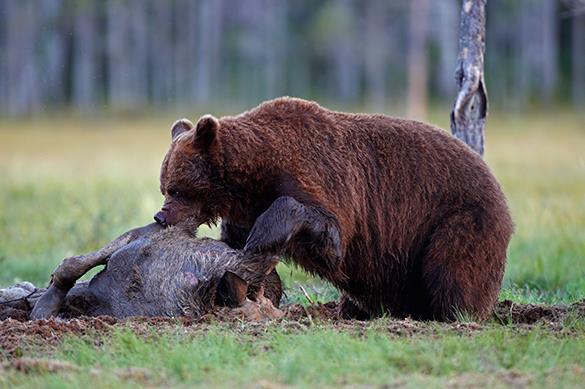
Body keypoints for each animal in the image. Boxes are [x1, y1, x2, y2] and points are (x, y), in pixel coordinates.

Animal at [154, 98, 512, 322]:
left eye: (176, 188)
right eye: (164, 185)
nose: (160, 215)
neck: (253, 178)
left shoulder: (319, 177)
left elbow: (328, 234)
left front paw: (263, 235)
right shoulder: (247, 205)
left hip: (461, 218)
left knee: (451, 267)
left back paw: (453, 314)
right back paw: (356, 309)